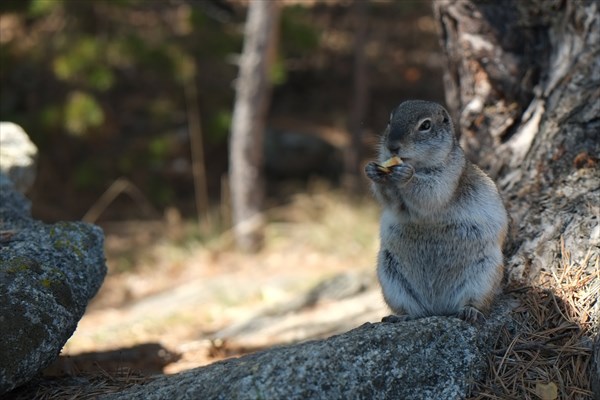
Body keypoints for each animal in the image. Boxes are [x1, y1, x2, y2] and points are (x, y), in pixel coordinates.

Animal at [364, 100, 508, 322]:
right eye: (390, 120)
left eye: (425, 125)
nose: (392, 147)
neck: (417, 166)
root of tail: (438, 308)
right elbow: (392, 202)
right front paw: (373, 171)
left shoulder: (448, 175)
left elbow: (430, 193)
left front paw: (405, 176)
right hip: (391, 279)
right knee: (414, 311)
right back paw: (401, 316)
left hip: (484, 276)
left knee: (478, 302)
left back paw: (470, 311)